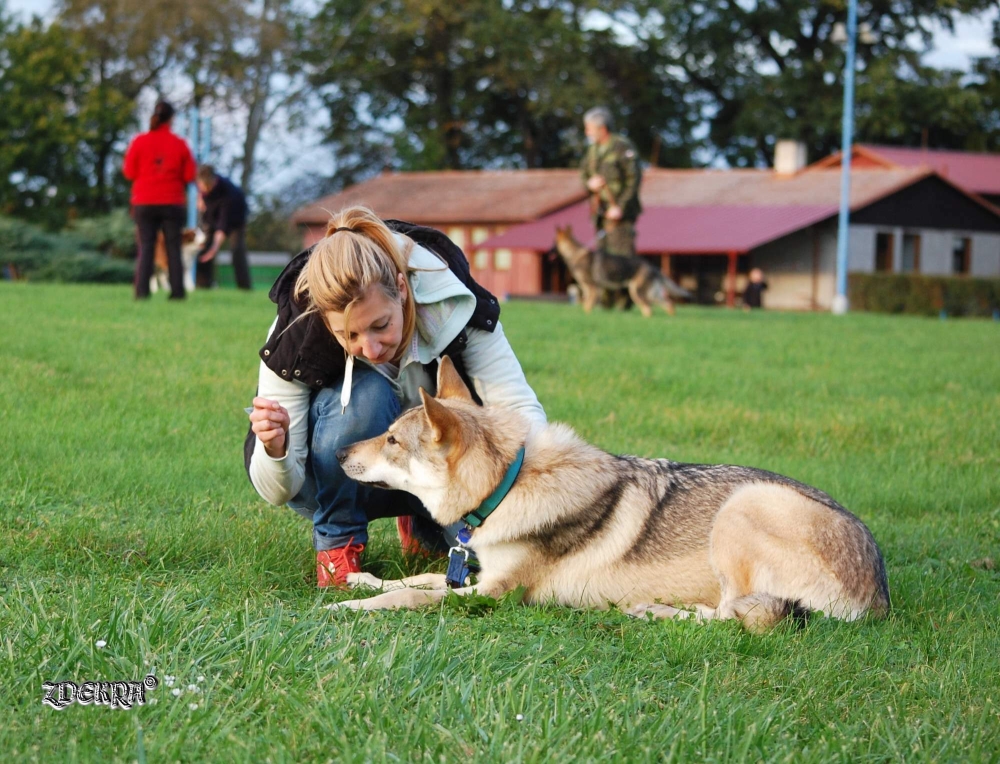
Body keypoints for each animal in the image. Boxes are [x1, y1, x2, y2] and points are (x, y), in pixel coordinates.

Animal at [330, 358, 892, 632]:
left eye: (392, 440)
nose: (337, 452)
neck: (509, 484)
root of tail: (880, 597)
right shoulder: (477, 574)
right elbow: (418, 578)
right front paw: (359, 580)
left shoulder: (496, 594)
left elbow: (413, 594)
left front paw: (348, 607)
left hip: (745, 506)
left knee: (737, 618)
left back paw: (656, 613)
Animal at [556, 224, 688, 316]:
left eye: (554, 242)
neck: (575, 253)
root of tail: (653, 267)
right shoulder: (590, 288)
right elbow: (586, 303)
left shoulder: (593, 287)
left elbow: (588, 304)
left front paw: (587, 315)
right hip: (652, 293)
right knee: (669, 304)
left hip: (637, 291)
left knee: (649, 309)